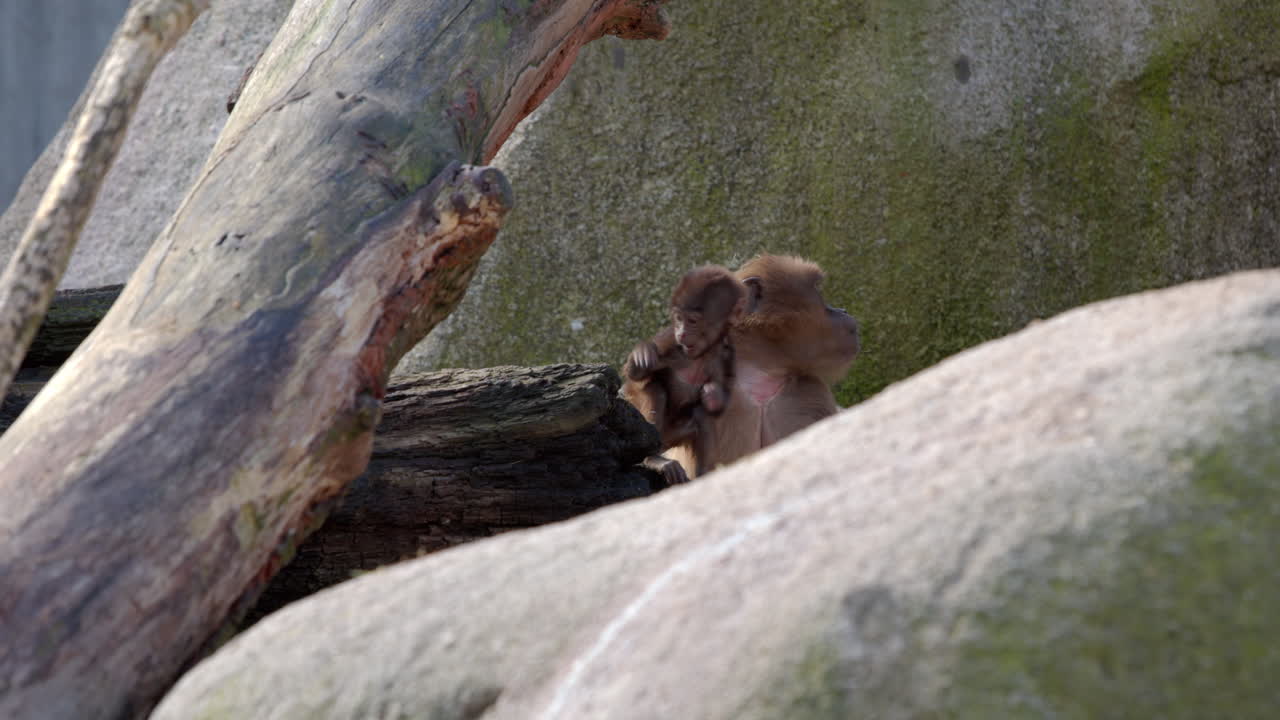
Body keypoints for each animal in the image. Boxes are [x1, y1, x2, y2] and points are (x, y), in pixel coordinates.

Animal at [623, 265, 747, 483]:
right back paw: (653, 459)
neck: (702, 354)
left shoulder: (728, 355)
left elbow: (717, 405)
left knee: (702, 415)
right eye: (678, 320)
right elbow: (634, 380)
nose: (681, 333)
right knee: (655, 390)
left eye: (692, 321)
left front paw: (713, 394)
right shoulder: (669, 342)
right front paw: (642, 354)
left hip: (672, 436)